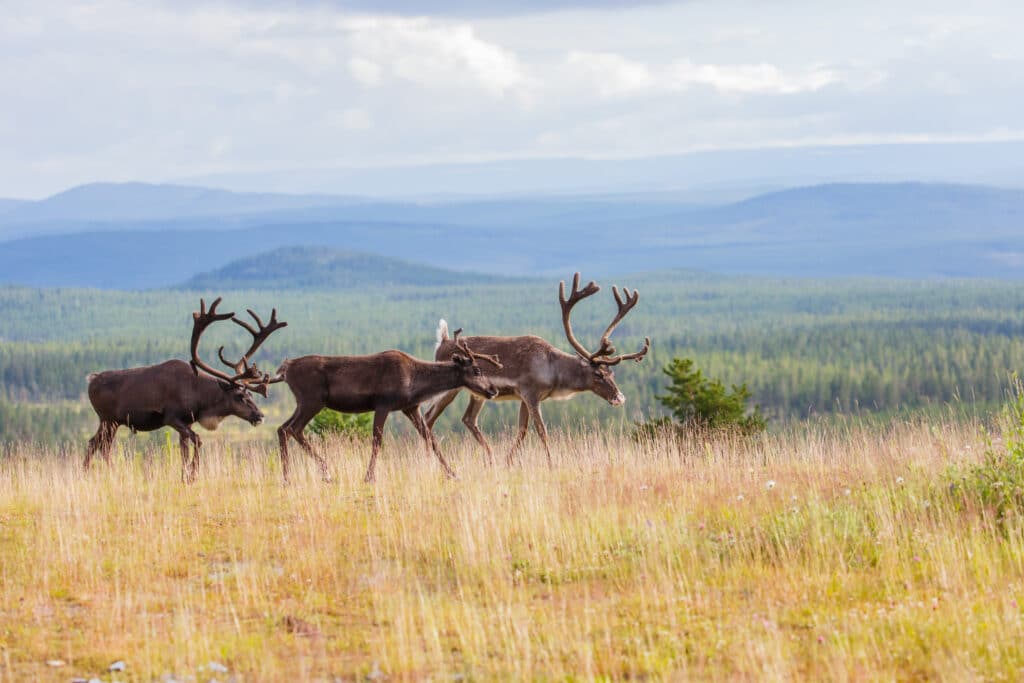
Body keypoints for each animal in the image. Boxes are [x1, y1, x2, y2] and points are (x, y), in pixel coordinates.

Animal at [84, 298, 287, 483]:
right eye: (239, 396)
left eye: (250, 394)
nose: (260, 416)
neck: (200, 397)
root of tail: (91, 380)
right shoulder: (172, 418)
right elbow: (198, 440)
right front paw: (192, 473)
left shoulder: (187, 422)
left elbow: (184, 450)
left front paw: (185, 475)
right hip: (108, 420)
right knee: (102, 446)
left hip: (111, 422)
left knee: (93, 443)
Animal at [275, 335, 502, 483]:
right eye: (477, 370)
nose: (493, 390)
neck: (415, 382)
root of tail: (286, 369)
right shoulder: (383, 404)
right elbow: (377, 440)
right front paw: (369, 477)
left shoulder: (410, 407)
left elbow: (431, 438)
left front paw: (452, 473)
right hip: (312, 400)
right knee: (293, 429)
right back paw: (321, 471)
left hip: (302, 402)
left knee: (282, 428)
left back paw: (289, 476)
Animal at [424, 273, 650, 466]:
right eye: (598, 374)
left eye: (612, 373)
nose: (620, 398)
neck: (553, 370)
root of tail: (441, 343)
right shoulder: (530, 394)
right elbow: (542, 431)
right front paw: (551, 464)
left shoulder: (523, 397)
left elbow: (522, 431)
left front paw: (508, 462)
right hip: (449, 388)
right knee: (428, 417)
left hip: (477, 394)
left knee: (468, 419)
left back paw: (490, 458)